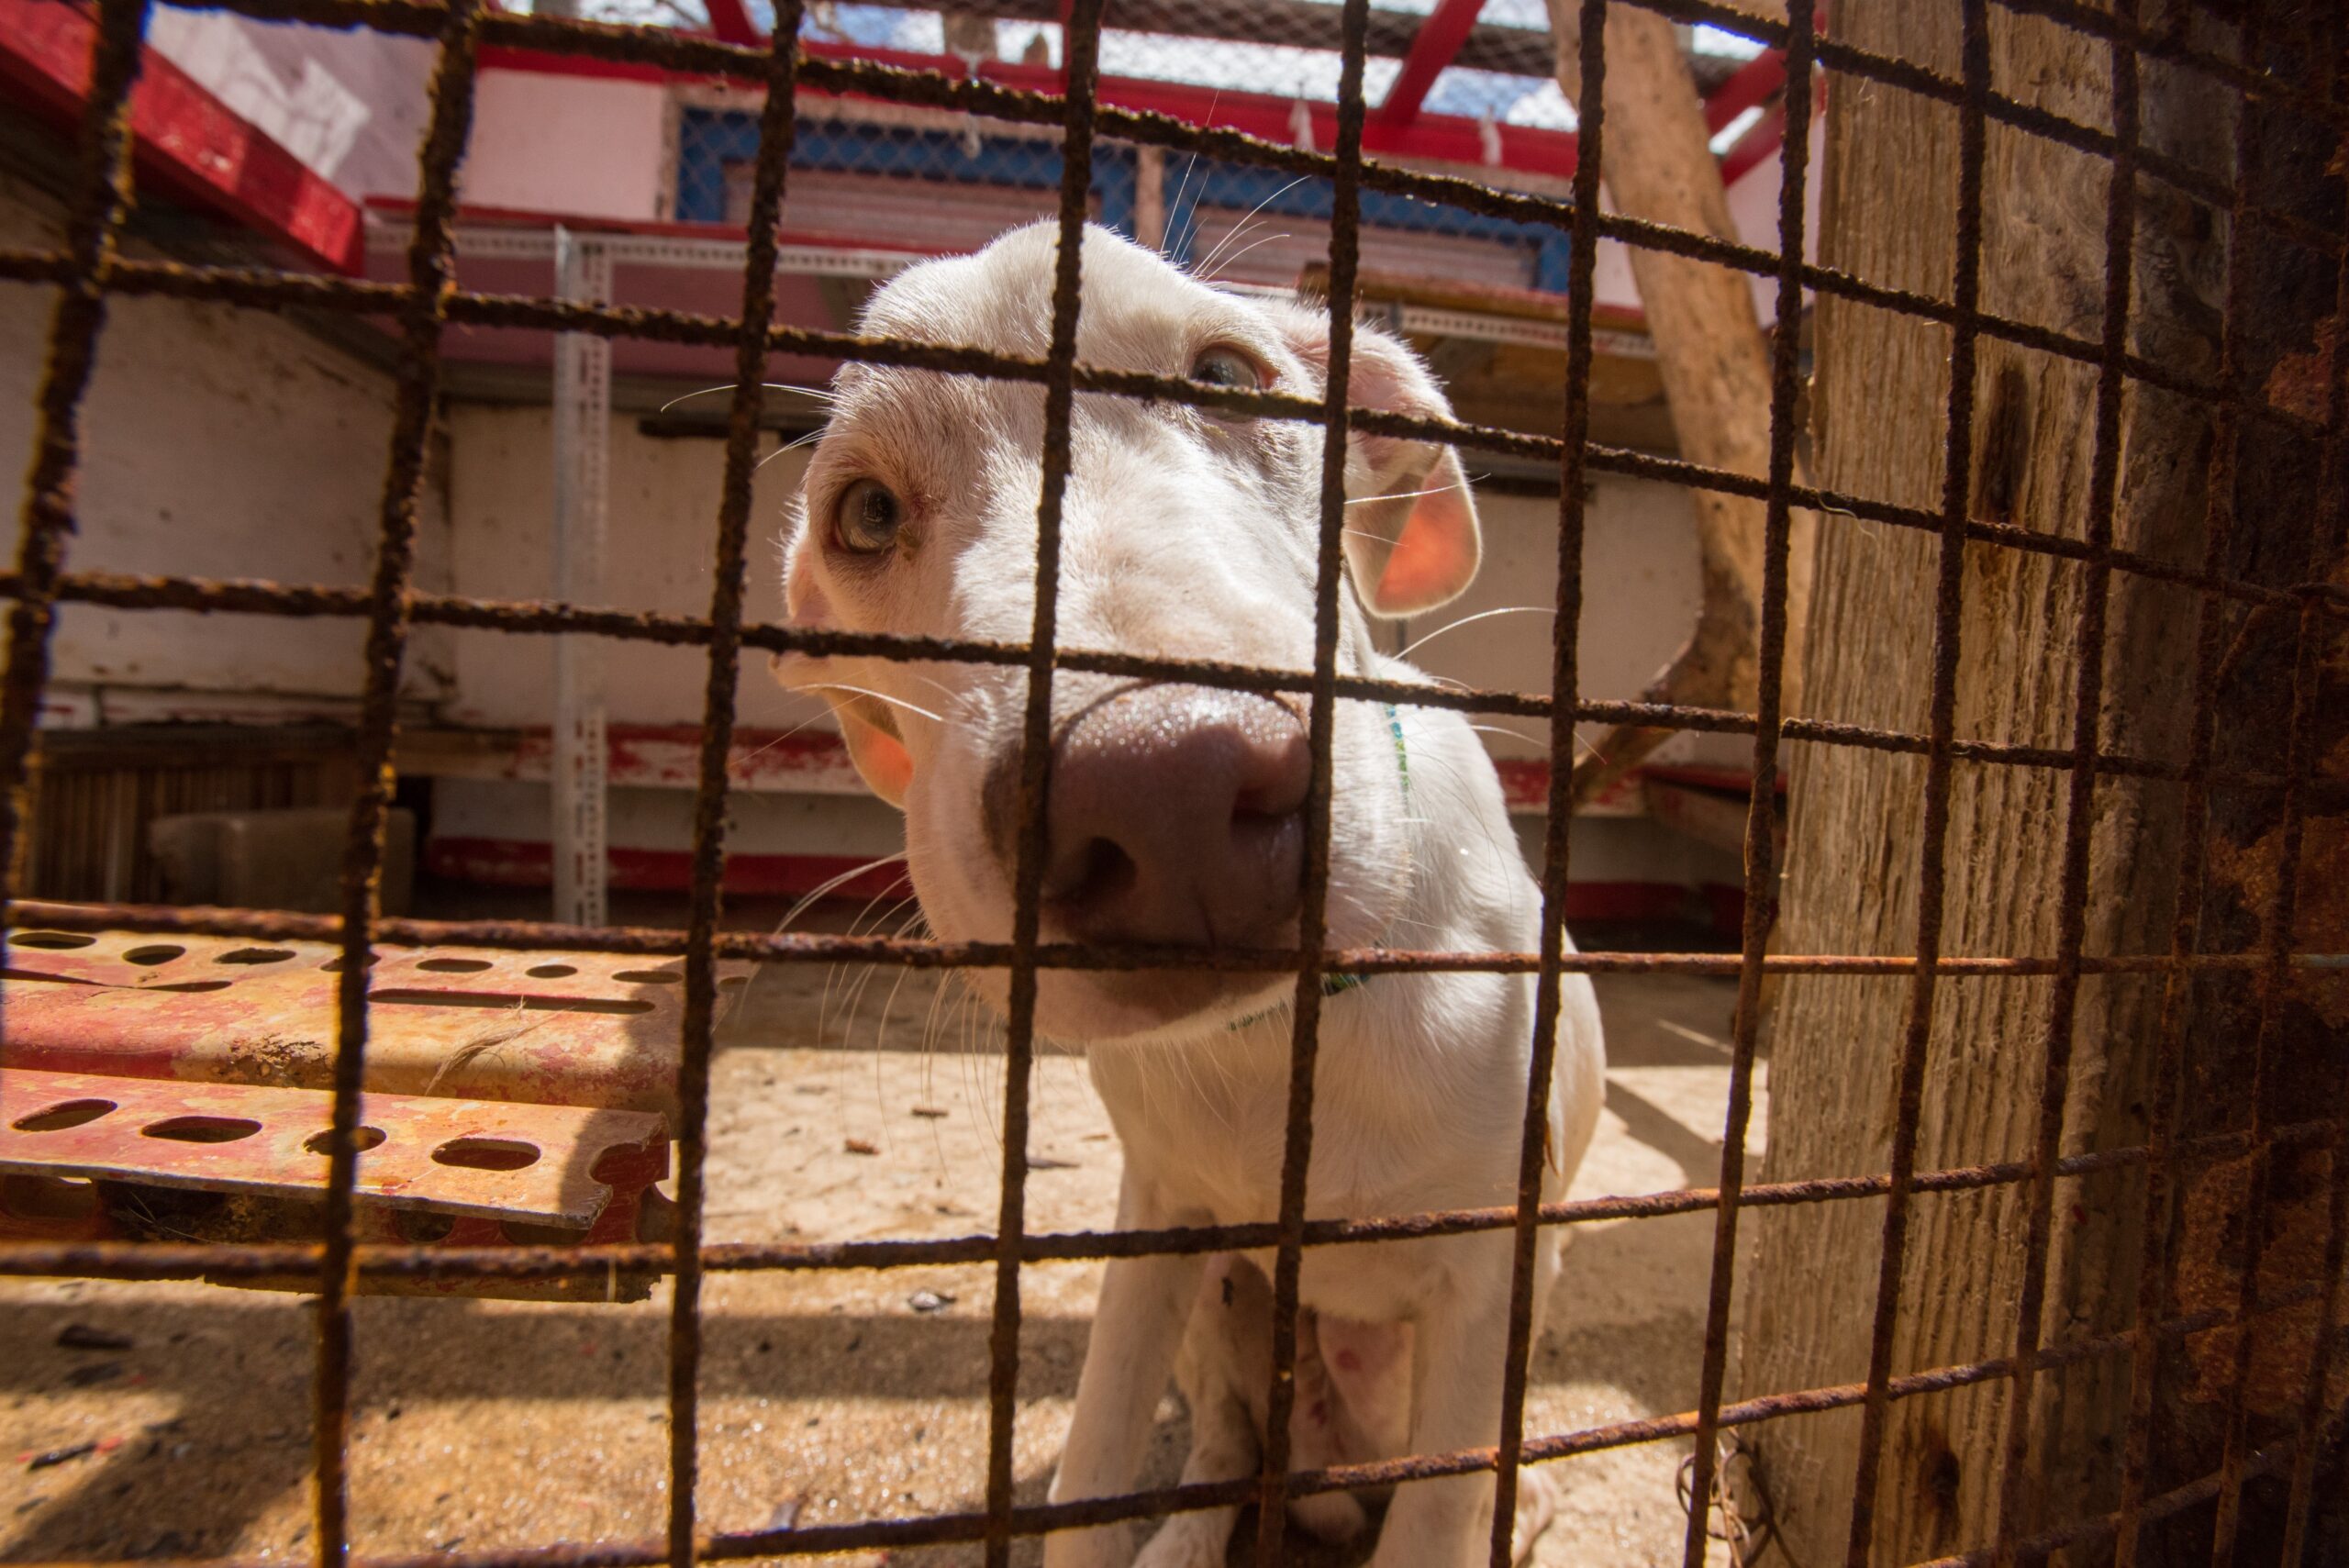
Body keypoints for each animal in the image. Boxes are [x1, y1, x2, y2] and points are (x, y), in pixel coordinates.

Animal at [779, 223, 1607, 1568]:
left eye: (1227, 374)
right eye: (865, 512)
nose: (1163, 781)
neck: (1279, 1042)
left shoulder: (1489, 1279)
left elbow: (1438, 1507)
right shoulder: (1156, 1222)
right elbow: (1090, 1470)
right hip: (1225, 1301)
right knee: (1225, 1444)